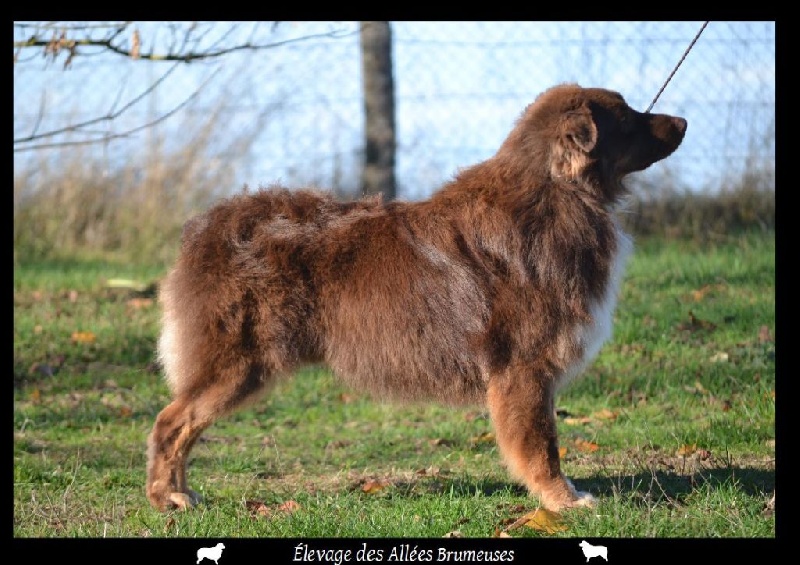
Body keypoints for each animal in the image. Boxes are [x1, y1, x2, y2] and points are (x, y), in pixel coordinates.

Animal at [147, 83, 684, 512]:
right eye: (628, 116)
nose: (682, 122)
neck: (559, 194)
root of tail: (207, 228)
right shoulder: (524, 369)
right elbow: (542, 448)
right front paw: (563, 501)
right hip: (238, 362)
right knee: (170, 422)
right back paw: (167, 497)